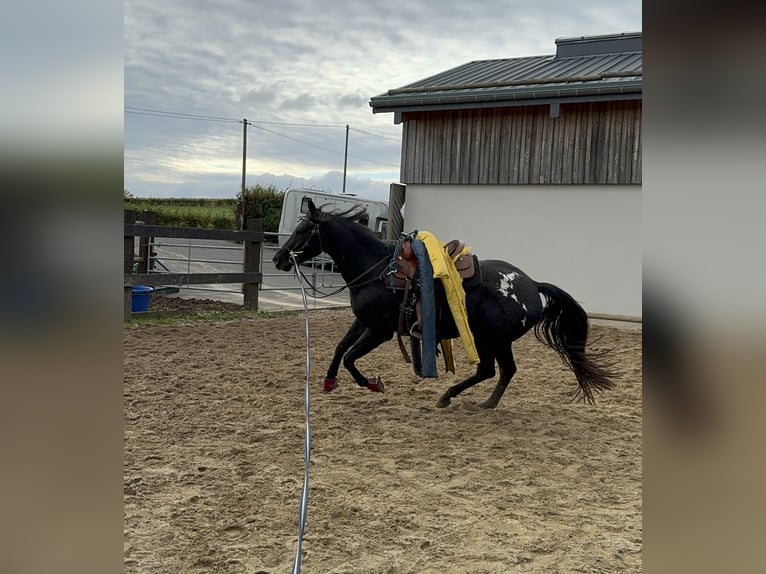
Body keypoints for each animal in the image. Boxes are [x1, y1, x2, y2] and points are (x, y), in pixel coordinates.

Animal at [272, 201, 616, 410]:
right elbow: (340, 349)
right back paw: (484, 403)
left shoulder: (380, 330)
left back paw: (451, 397)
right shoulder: (363, 321)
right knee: (503, 371)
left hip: (490, 339)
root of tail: (532, 286)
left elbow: (350, 357)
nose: (278, 259)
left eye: (302, 230)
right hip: (495, 341)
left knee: (490, 370)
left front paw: (371, 383)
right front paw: (330, 381)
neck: (377, 270)